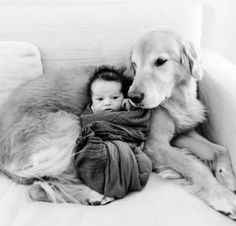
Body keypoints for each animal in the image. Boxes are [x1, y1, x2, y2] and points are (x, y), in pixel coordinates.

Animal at [128, 29, 236, 220]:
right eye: (135, 65)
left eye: (160, 61)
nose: (133, 97)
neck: (178, 101)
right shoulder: (155, 144)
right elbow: (195, 166)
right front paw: (222, 195)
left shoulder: (183, 134)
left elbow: (221, 149)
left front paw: (227, 178)